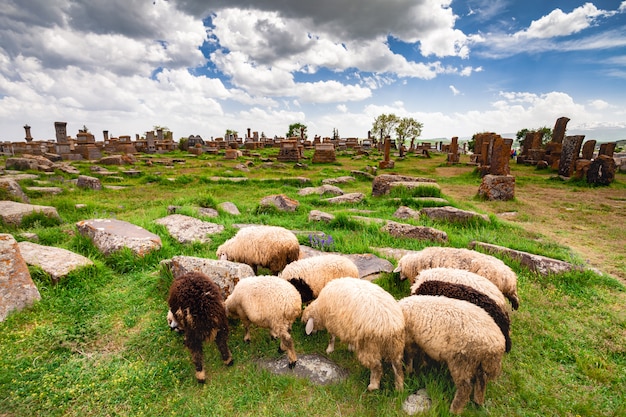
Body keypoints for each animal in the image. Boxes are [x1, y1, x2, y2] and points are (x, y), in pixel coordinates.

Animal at [392, 247, 520, 308]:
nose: (400, 279)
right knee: (514, 297)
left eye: (400, 270)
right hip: (508, 291)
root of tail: (510, 276)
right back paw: (515, 305)